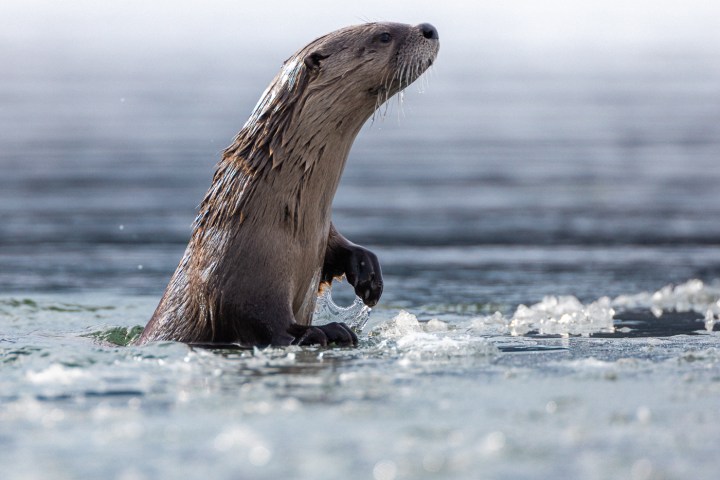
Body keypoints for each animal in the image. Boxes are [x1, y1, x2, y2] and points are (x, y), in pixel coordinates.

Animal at [137, 22, 439, 347]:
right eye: (384, 36)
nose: (428, 28)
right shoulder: (239, 286)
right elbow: (265, 322)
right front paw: (326, 330)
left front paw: (368, 273)